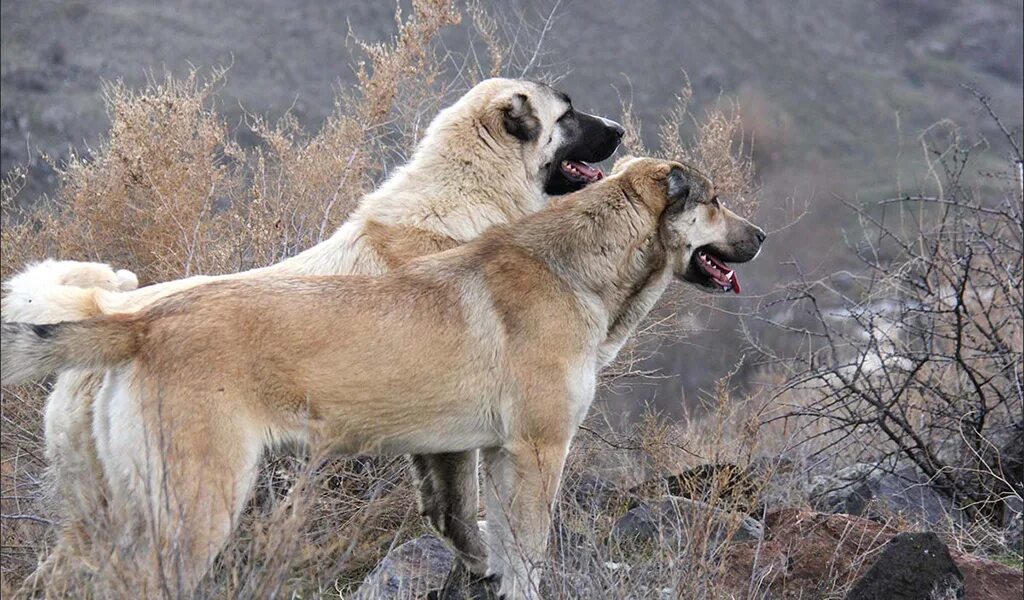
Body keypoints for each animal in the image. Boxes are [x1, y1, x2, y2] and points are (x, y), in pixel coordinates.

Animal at [2, 77, 622, 577]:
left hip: (101, 508)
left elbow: (449, 511)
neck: (466, 194)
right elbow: (463, 509)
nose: (619, 128)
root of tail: (116, 315)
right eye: (567, 114)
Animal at [4, 156, 765, 593]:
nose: (762, 238)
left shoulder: (483, 455)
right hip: (196, 505)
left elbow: (485, 541)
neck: (574, 266)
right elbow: (527, 558)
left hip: (119, 511)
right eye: (714, 200)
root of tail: (142, 322)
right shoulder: (536, 452)